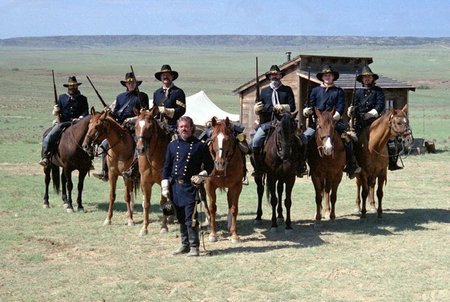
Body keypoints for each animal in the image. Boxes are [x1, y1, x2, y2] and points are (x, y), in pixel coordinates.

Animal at [134, 107, 172, 237]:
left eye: (150, 127)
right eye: (135, 126)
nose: (140, 149)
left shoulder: (163, 181)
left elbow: (163, 202)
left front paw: (164, 227)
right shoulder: (145, 182)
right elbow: (146, 203)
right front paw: (144, 228)